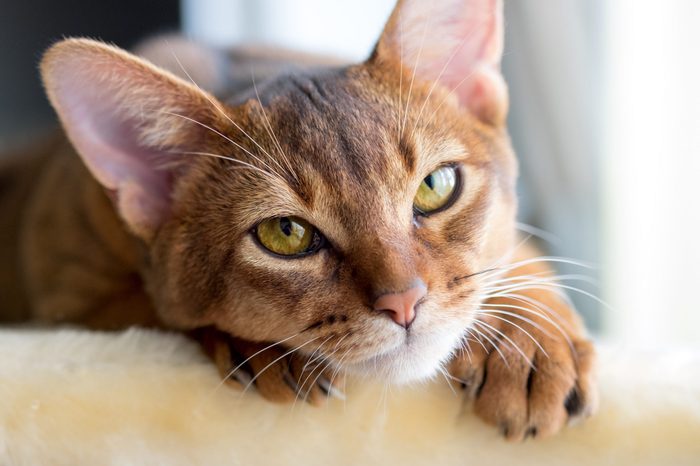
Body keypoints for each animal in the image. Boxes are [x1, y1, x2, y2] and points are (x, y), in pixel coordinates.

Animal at [0, 0, 596, 440]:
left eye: (435, 187)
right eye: (285, 234)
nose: (404, 302)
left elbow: (510, 252)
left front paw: (529, 341)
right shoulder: (71, 301)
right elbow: (161, 309)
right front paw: (258, 350)